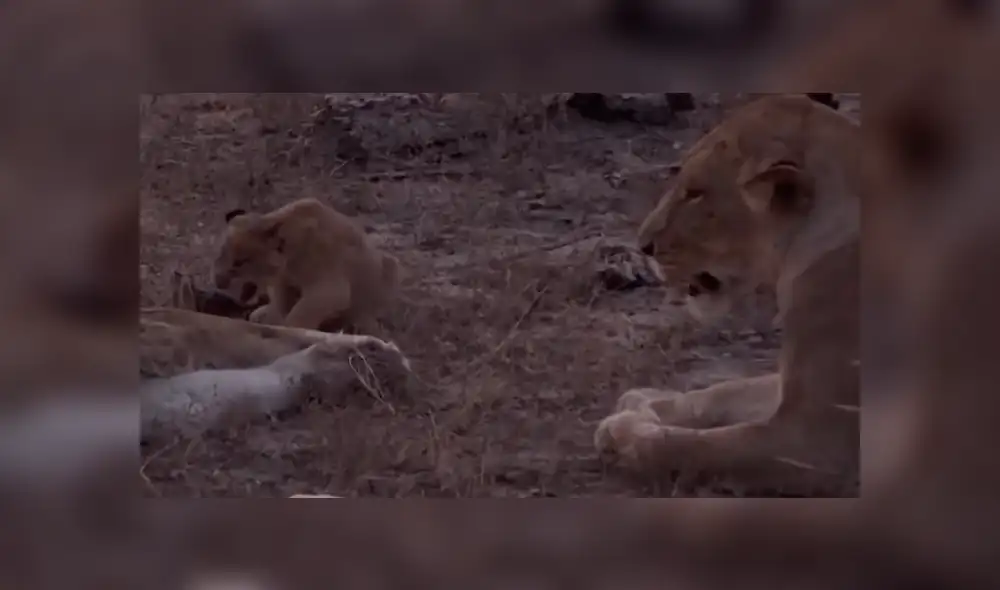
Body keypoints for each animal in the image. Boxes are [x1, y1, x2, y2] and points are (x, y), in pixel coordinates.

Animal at [212, 198, 400, 335]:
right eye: (219, 255)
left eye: (240, 261)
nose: (218, 282)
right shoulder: (283, 284)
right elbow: (282, 307)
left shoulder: (329, 289)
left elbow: (298, 316)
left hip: (390, 267)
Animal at [595, 94, 860, 495]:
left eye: (696, 194)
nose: (643, 246)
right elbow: (724, 391)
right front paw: (645, 402)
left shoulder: (820, 441)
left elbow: (693, 448)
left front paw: (622, 430)